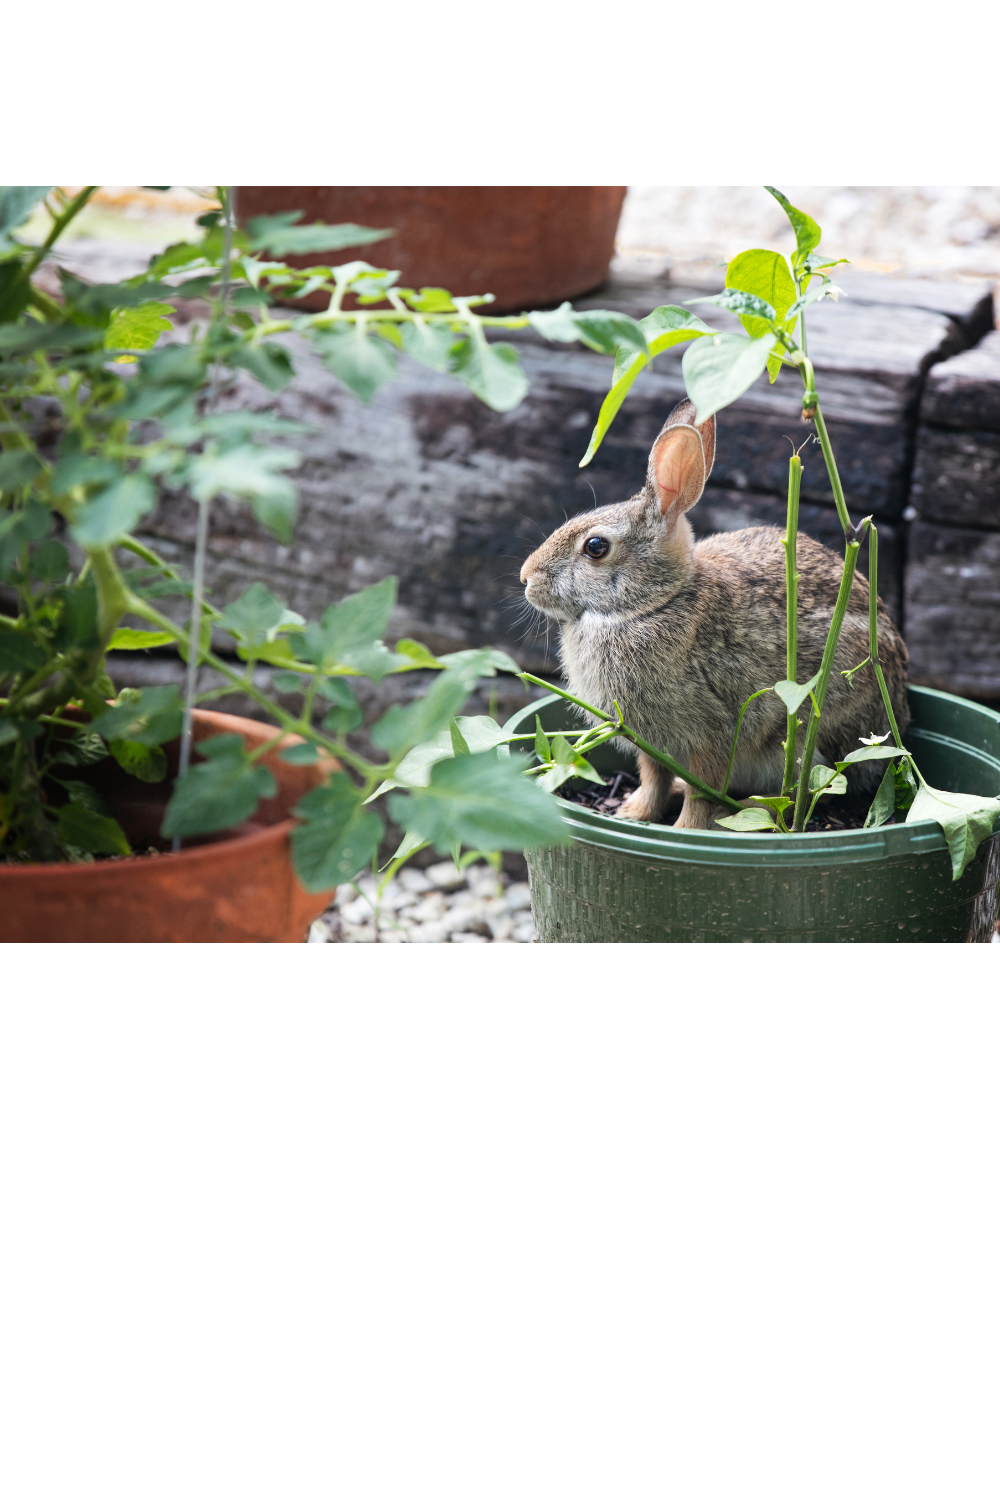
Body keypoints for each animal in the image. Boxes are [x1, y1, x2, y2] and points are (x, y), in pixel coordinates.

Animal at [519, 398, 910, 829]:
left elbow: (702, 790)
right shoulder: (651, 742)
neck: (653, 603)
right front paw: (634, 814)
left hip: (816, 728)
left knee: (809, 791)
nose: (525, 578)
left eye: (595, 547)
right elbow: (653, 776)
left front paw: (684, 829)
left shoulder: (713, 733)